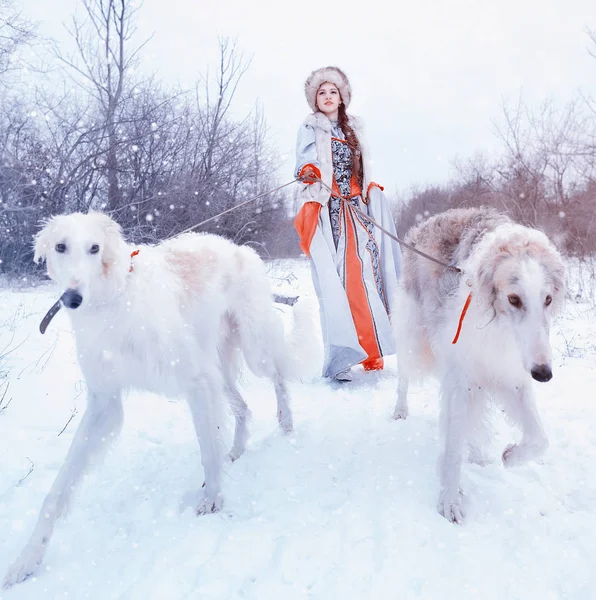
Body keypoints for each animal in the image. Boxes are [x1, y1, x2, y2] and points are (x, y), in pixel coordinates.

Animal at [7, 211, 308, 584]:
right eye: (61, 247)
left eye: (94, 248)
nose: (72, 299)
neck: (114, 300)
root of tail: (239, 248)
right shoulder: (104, 403)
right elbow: (57, 492)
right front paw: (27, 560)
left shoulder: (195, 380)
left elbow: (207, 450)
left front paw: (212, 498)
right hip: (219, 369)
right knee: (243, 407)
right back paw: (236, 450)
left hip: (251, 352)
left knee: (279, 377)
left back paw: (286, 424)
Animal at [394, 207, 564, 524]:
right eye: (514, 299)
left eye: (548, 299)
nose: (544, 374)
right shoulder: (460, 374)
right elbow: (451, 451)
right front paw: (449, 502)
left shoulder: (510, 372)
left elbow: (540, 438)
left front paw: (510, 456)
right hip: (413, 337)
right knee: (403, 375)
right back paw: (400, 410)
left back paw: (478, 453)